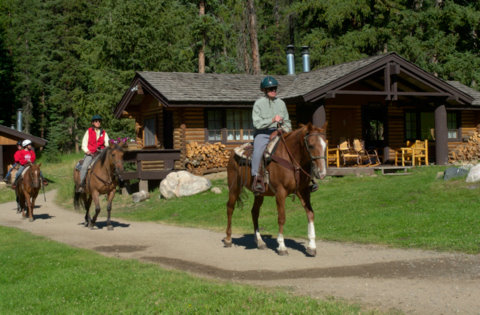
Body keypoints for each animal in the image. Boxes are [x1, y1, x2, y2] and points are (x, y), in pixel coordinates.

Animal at [224, 123, 328, 256]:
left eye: (325, 145)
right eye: (311, 145)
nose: (322, 173)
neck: (291, 160)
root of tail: (233, 153)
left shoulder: (303, 192)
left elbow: (310, 214)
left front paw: (312, 246)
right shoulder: (280, 193)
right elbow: (281, 218)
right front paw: (282, 247)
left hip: (259, 194)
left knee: (254, 212)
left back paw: (260, 242)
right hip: (234, 188)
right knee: (230, 208)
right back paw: (228, 239)